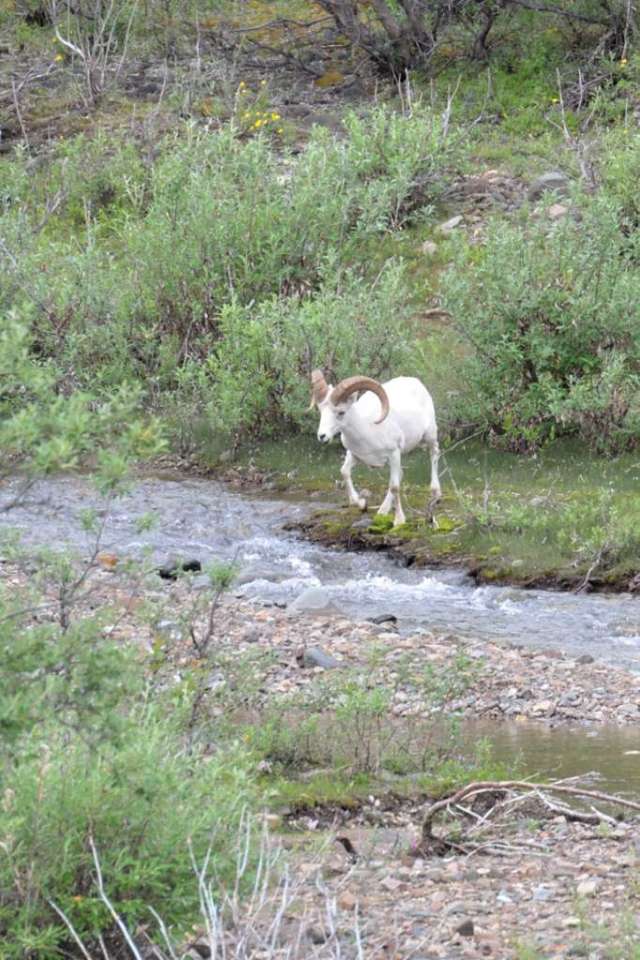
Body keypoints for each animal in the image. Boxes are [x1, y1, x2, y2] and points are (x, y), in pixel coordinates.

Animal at [308, 369, 441, 527]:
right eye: (320, 410)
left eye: (341, 412)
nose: (322, 436)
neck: (367, 428)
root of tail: (416, 382)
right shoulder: (354, 454)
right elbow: (344, 472)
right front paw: (361, 503)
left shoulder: (394, 454)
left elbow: (395, 487)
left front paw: (399, 520)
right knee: (400, 474)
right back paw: (382, 510)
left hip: (429, 436)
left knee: (434, 453)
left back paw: (436, 495)